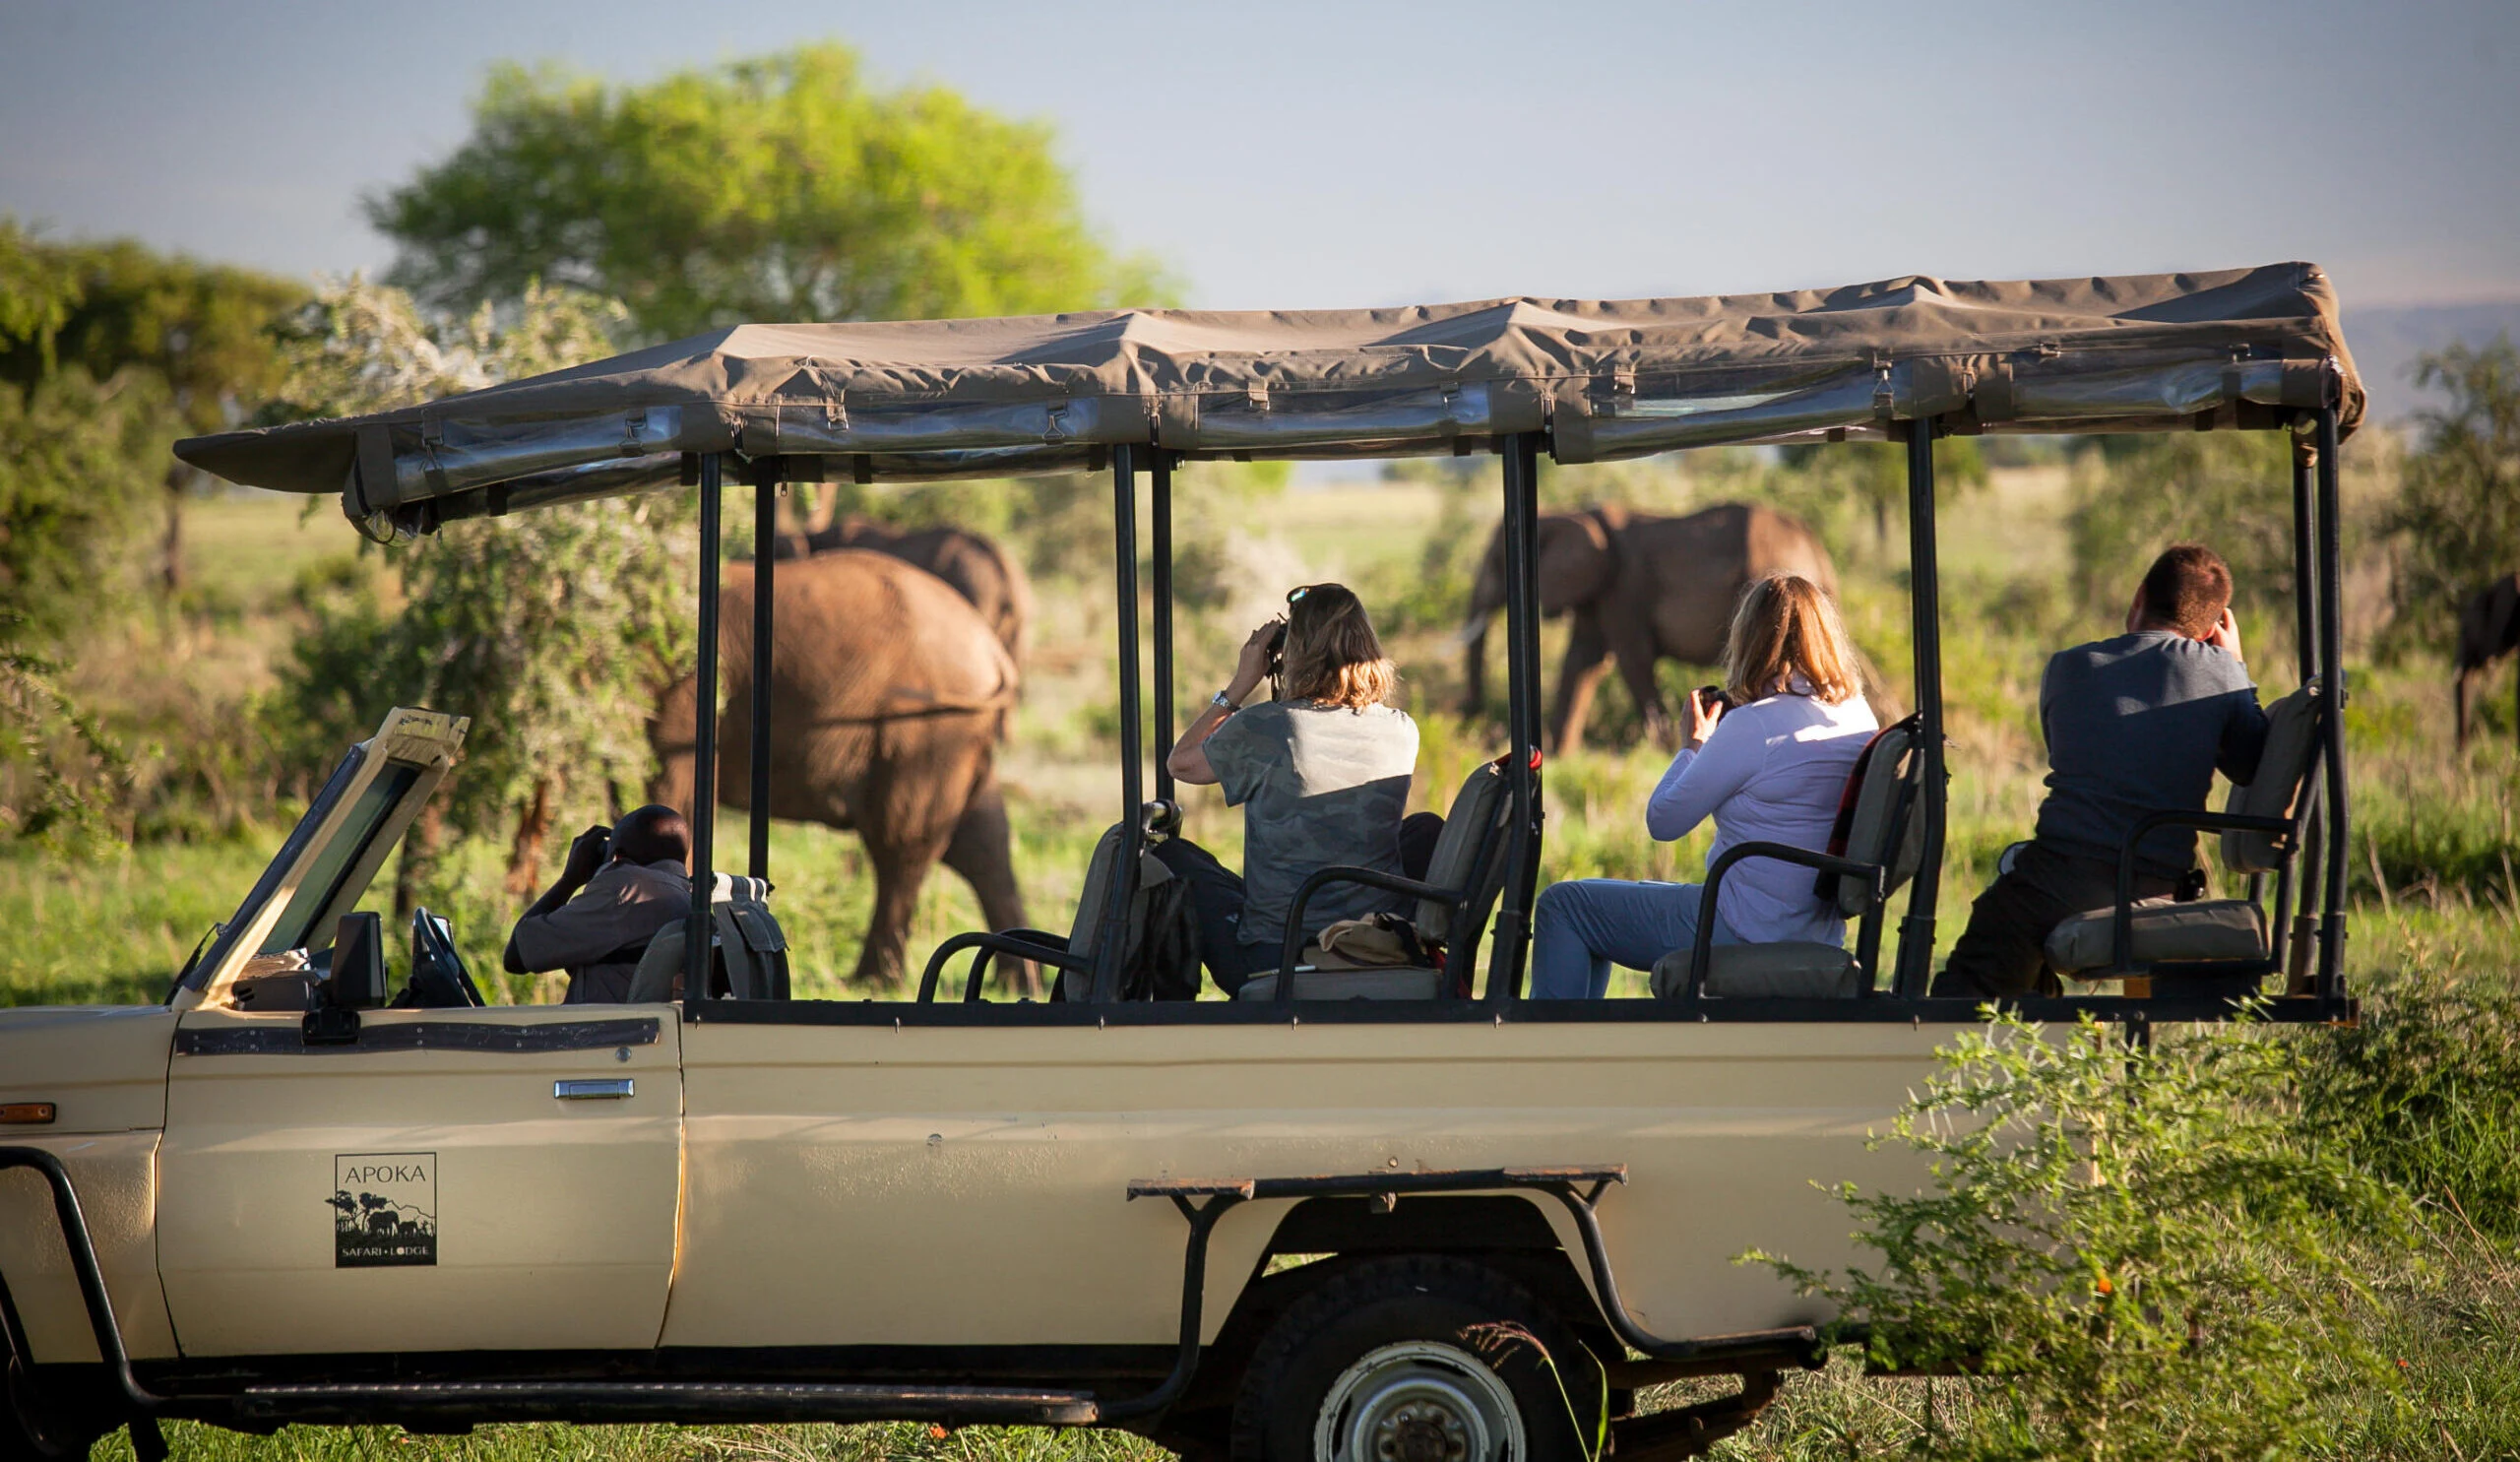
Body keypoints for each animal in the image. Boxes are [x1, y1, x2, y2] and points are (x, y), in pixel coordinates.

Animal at [651, 549, 1033, 992]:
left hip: (924, 725)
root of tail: (993, 652)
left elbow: (673, 791)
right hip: (956, 730)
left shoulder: (685, 686)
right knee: (982, 843)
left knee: (901, 843)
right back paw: (1018, 983)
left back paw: (873, 982)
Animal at [1461, 501, 1885, 753]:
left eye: (1497, 563)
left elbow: (1629, 661)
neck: (1573, 511)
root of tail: (1817, 548)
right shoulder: (1600, 591)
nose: (1475, 728)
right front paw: (1558, 755)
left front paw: (1663, 750)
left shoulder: (1623, 587)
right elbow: (1581, 663)